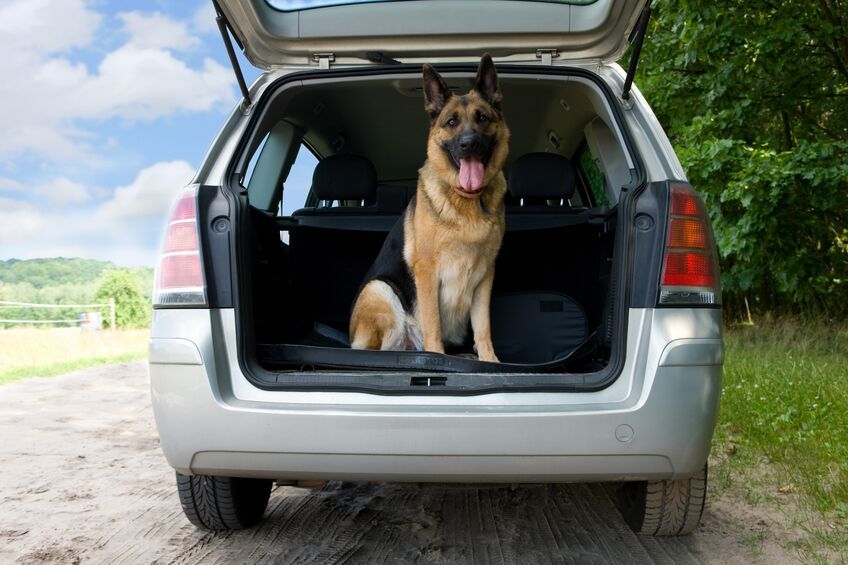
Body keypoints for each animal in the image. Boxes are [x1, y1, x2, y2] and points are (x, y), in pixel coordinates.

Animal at [352, 54, 510, 362]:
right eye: (451, 122)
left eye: (482, 118)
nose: (469, 144)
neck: (467, 199)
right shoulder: (427, 272)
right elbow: (433, 324)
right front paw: (436, 357)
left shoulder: (486, 275)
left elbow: (483, 328)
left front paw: (490, 361)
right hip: (381, 291)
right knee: (378, 351)